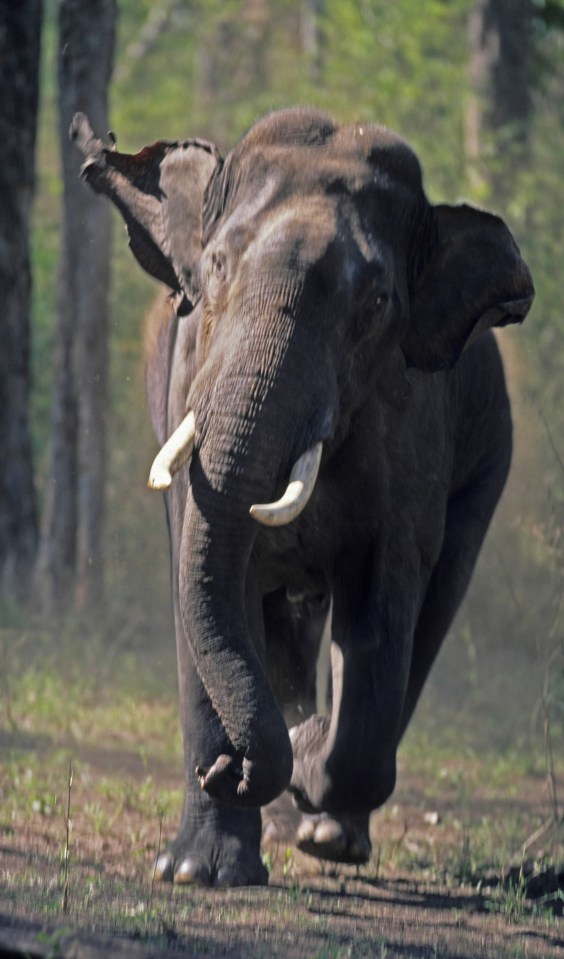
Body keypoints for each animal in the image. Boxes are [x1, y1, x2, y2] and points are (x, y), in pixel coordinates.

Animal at [70, 109, 532, 888]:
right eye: (216, 267)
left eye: (375, 303)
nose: (226, 768)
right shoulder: (187, 380)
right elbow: (204, 574)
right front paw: (200, 872)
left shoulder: (409, 419)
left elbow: (383, 602)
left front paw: (308, 752)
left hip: (487, 458)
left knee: (430, 613)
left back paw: (325, 824)